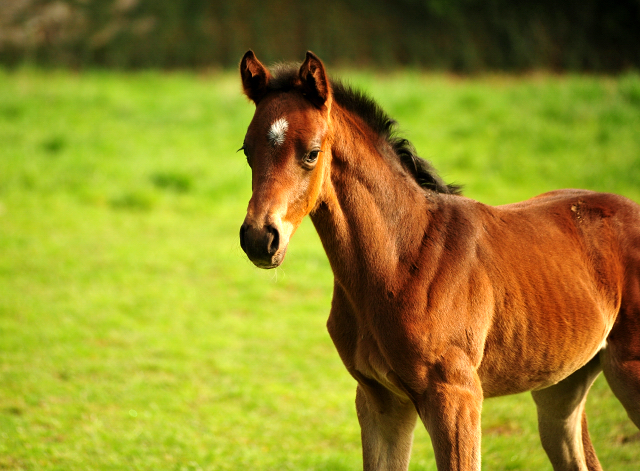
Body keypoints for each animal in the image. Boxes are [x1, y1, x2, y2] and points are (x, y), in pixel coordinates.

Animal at [236, 49, 640, 470]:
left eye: (312, 153)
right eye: (247, 150)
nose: (259, 238)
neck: (402, 260)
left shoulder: (456, 397)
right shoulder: (380, 400)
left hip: (630, 373)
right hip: (560, 386)